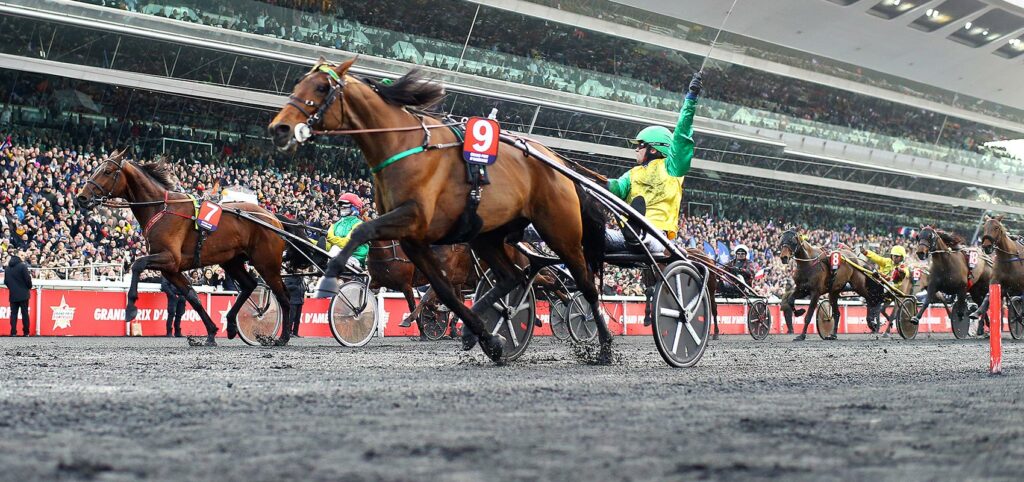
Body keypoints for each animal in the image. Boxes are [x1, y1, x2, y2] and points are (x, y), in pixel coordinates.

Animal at [73, 150, 299, 343]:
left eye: (107, 171)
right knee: (249, 285)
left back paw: (282, 337)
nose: (81, 197)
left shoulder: (170, 258)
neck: (161, 208)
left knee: (284, 296)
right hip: (231, 261)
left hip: (266, 263)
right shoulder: (171, 268)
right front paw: (211, 333)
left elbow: (138, 264)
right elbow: (192, 296)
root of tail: (274, 218)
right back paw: (232, 324)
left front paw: (130, 308)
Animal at [270, 58, 606, 362]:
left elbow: (363, 229)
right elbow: (443, 293)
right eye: (297, 84)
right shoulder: (413, 240)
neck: (403, 144)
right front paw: (487, 340)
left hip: (560, 231)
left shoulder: (412, 219)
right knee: (512, 278)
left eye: (321, 87)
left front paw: (329, 279)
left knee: (584, 284)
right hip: (486, 236)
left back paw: (602, 346)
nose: (279, 128)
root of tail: (558, 162)